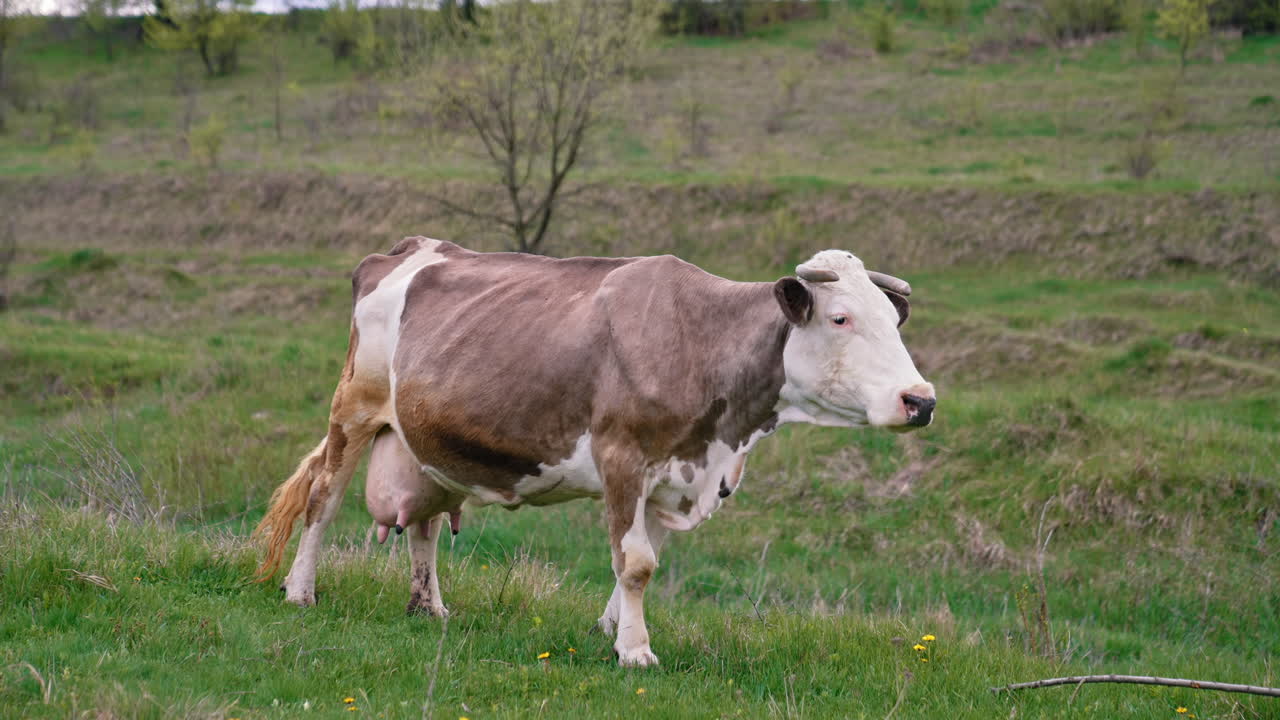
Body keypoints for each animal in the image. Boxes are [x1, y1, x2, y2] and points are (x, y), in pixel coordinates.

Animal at [254, 237, 936, 667]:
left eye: (894, 321)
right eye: (841, 318)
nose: (920, 399)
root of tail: (405, 249)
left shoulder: (677, 475)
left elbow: (647, 557)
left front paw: (611, 629)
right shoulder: (623, 456)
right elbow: (635, 562)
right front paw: (634, 650)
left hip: (426, 438)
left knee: (420, 522)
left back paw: (431, 608)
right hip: (354, 407)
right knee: (323, 498)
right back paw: (300, 591)